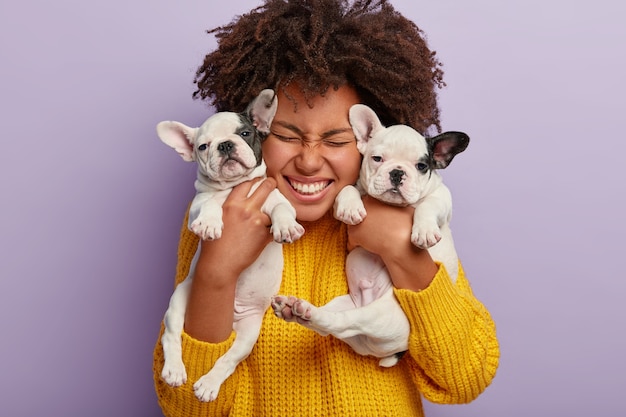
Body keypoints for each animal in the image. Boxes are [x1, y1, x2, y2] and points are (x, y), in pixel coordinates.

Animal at [155, 89, 302, 402]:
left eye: (245, 133)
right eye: (202, 146)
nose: (225, 145)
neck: (233, 188)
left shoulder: (275, 198)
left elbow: (282, 209)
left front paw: (286, 227)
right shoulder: (197, 206)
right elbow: (210, 204)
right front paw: (211, 223)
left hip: (249, 332)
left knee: (229, 358)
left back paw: (209, 384)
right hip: (180, 299)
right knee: (171, 335)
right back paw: (175, 371)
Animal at [270, 102, 466, 366]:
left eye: (422, 166)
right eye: (377, 159)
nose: (397, 172)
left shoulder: (443, 197)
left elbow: (428, 206)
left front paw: (424, 231)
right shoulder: (354, 188)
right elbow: (347, 189)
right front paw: (350, 208)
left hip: (381, 315)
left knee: (342, 323)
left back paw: (299, 312)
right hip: (345, 304)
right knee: (334, 323)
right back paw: (295, 310)